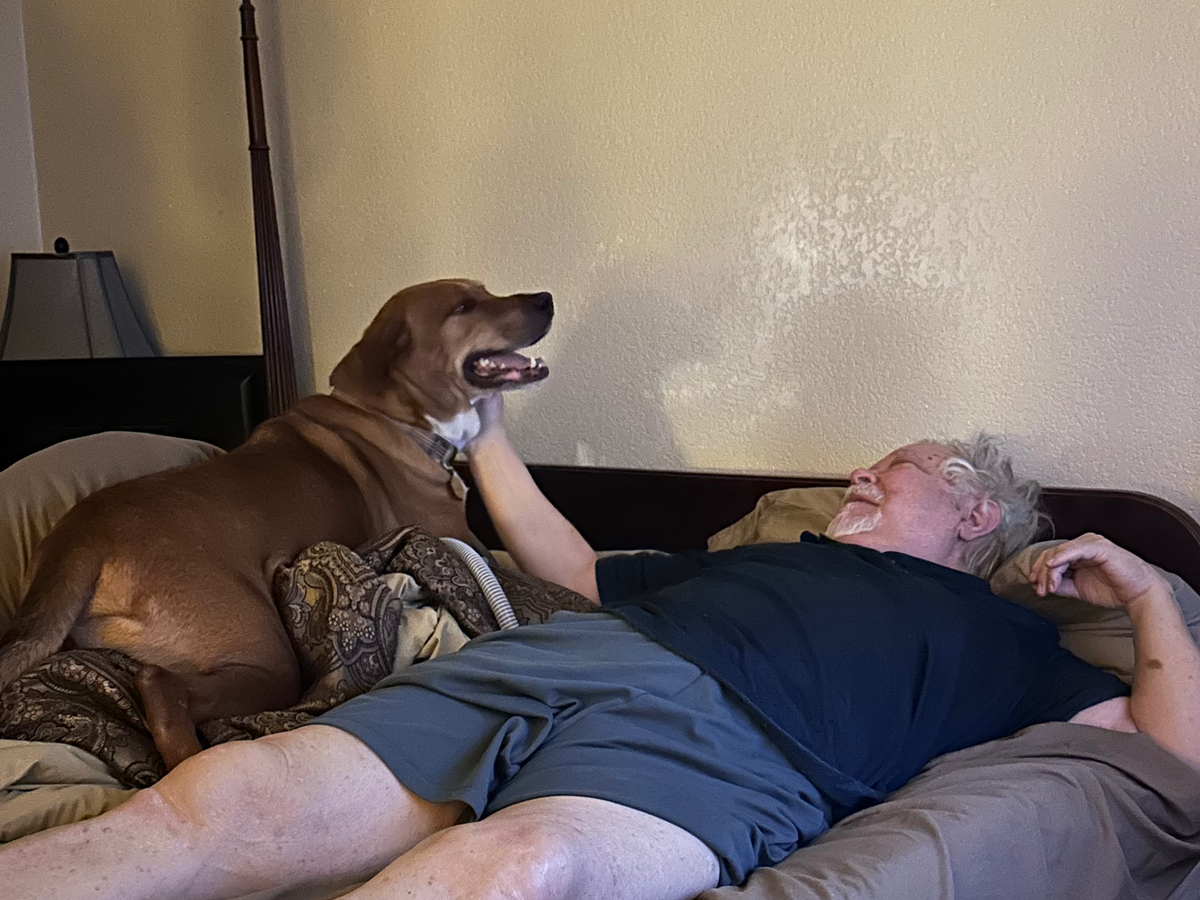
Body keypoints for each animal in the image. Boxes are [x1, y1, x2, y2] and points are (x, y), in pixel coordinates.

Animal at [0, 279, 552, 768]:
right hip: (267, 658)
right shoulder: (466, 540)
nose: (545, 298)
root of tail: (83, 533)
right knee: (162, 687)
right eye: (463, 306)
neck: (398, 417)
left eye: (481, 291)